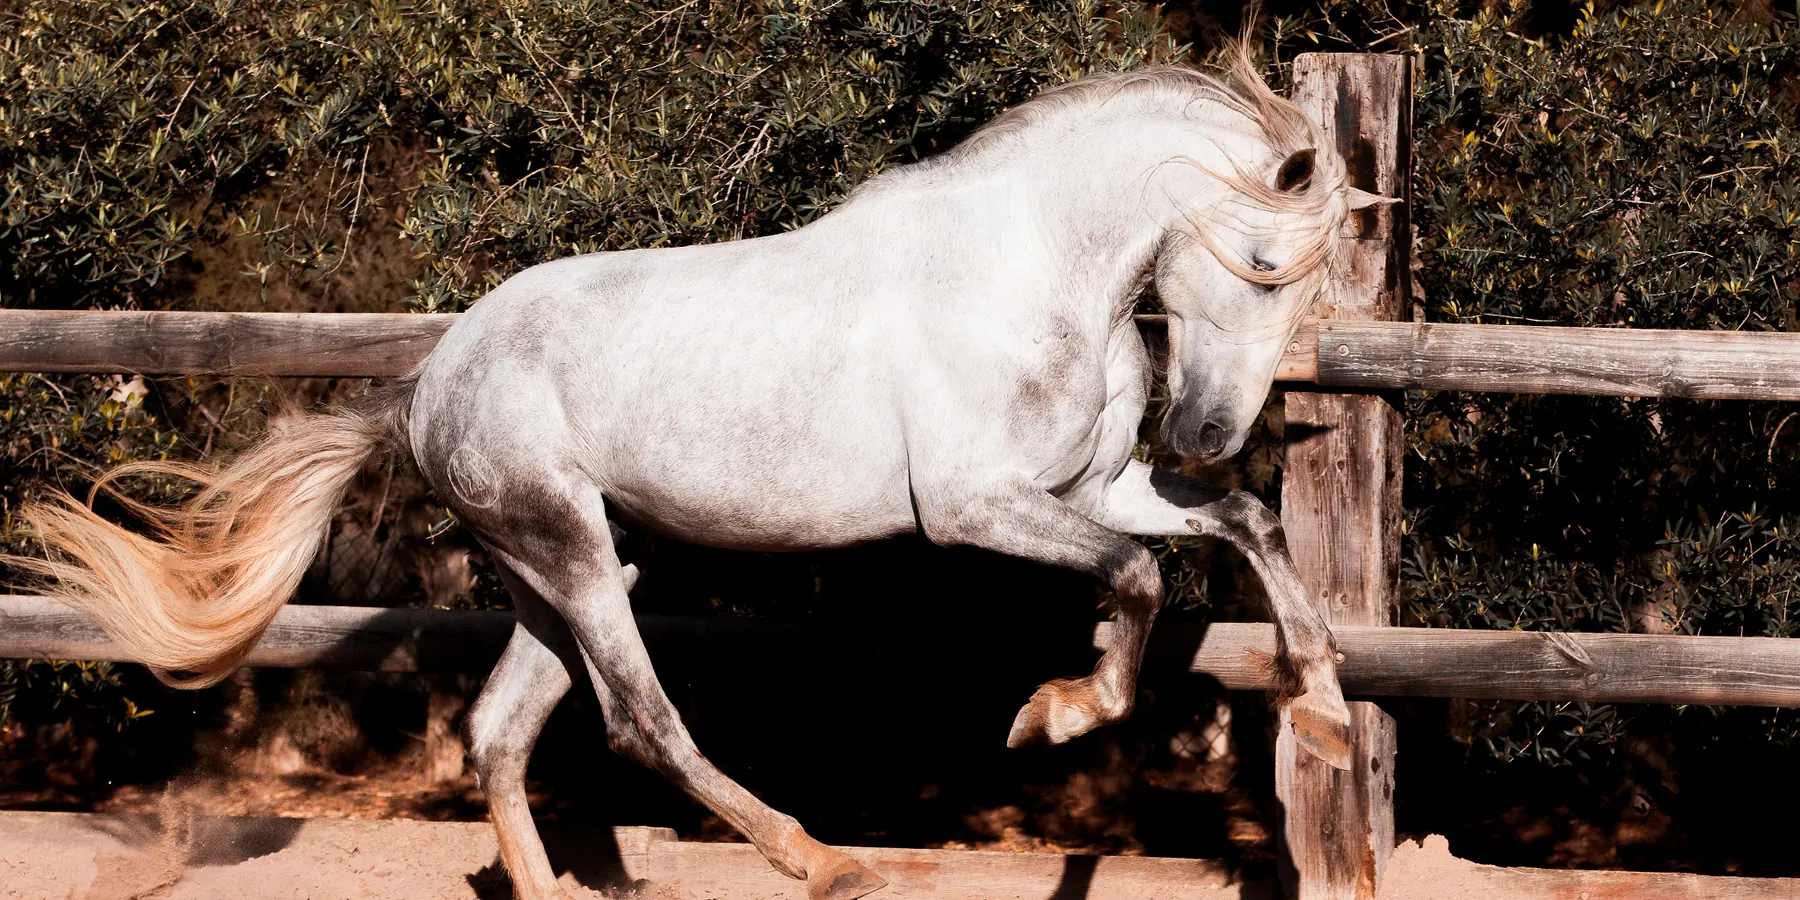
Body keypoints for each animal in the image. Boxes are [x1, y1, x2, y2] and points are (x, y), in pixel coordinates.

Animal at [12, 52, 1385, 900]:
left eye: (1309, 285)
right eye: (1264, 262)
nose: (1205, 426)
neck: (1026, 268)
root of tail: (429, 382)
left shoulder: (1092, 488)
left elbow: (1243, 526)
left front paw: (1320, 706)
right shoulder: (974, 509)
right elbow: (1141, 578)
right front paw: (1056, 712)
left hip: (566, 572)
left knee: (498, 734)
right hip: (571, 554)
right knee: (642, 722)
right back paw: (823, 859)